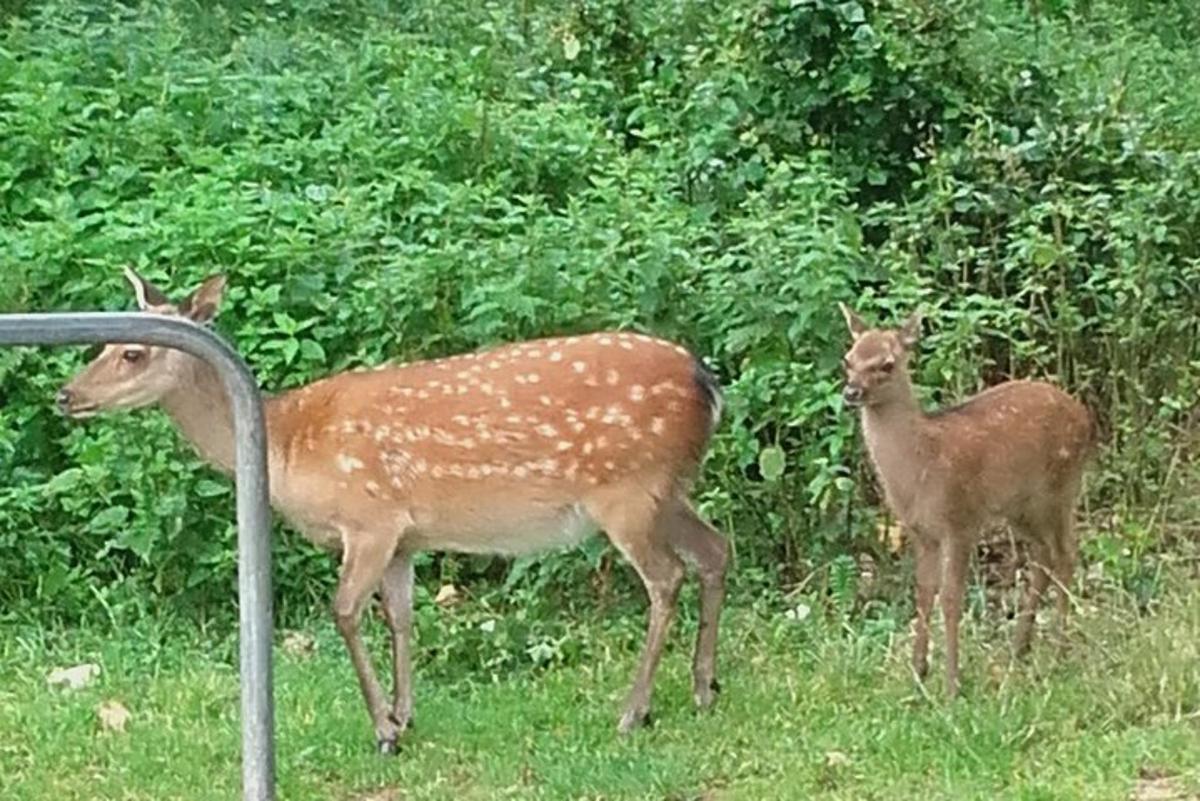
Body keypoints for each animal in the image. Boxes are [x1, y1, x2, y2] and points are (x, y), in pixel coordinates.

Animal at [60, 270, 729, 753]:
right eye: (103, 342)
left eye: (133, 353)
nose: (67, 396)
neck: (286, 447)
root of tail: (706, 381)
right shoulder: (406, 538)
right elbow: (402, 618)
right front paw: (405, 715)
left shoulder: (370, 519)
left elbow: (345, 612)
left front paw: (383, 729)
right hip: (666, 490)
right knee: (716, 549)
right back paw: (702, 689)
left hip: (627, 491)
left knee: (667, 577)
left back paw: (634, 711)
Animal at [840, 304, 1094, 695]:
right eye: (848, 360)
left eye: (887, 364)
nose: (851, 392)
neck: (920, 469)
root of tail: (1086, 416)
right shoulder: (921, 531)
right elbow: (923, 592)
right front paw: (918, 673)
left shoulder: (960, 520)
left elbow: (950, 597)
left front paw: (951, 685)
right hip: (1020, 507)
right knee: (1045, 554)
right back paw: (1021, 647)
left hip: (1059, 489)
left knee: (1066, 553)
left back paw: (1057, 652)